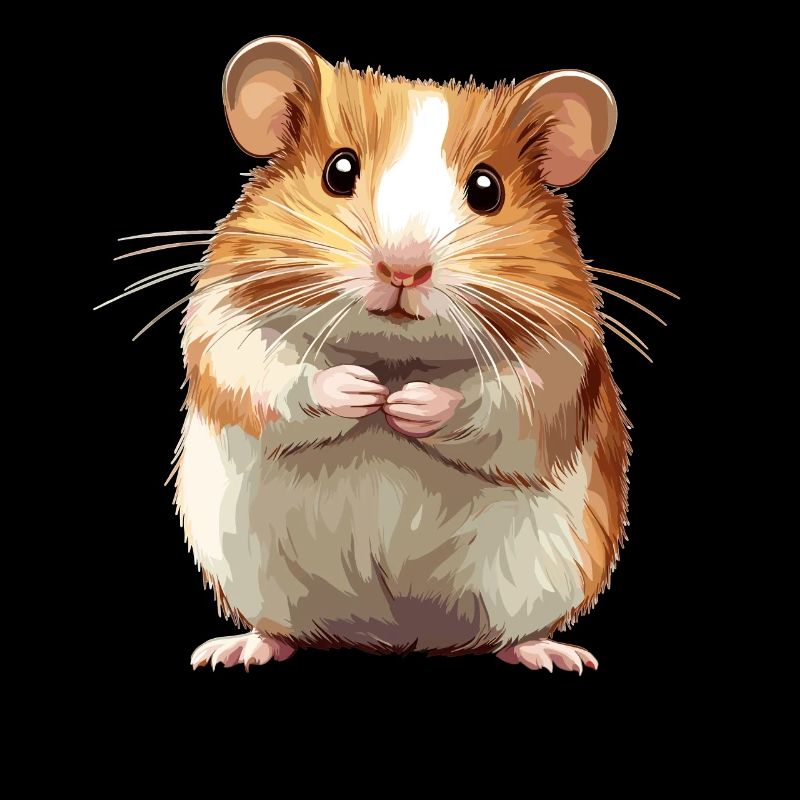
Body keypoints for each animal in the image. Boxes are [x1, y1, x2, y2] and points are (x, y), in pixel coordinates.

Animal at [175, 36, 628, 673]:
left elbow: (503, 403)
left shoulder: (564, 359)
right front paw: (362, 392)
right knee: (279, 628)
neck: (391, 353)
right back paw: (234, 650)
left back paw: (555, 656)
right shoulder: (221, 324)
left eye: (487, 188)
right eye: (339, 170)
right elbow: (266, 375)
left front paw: (409, 404)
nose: (403, 268)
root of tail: (396, 639)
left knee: (516, 634)